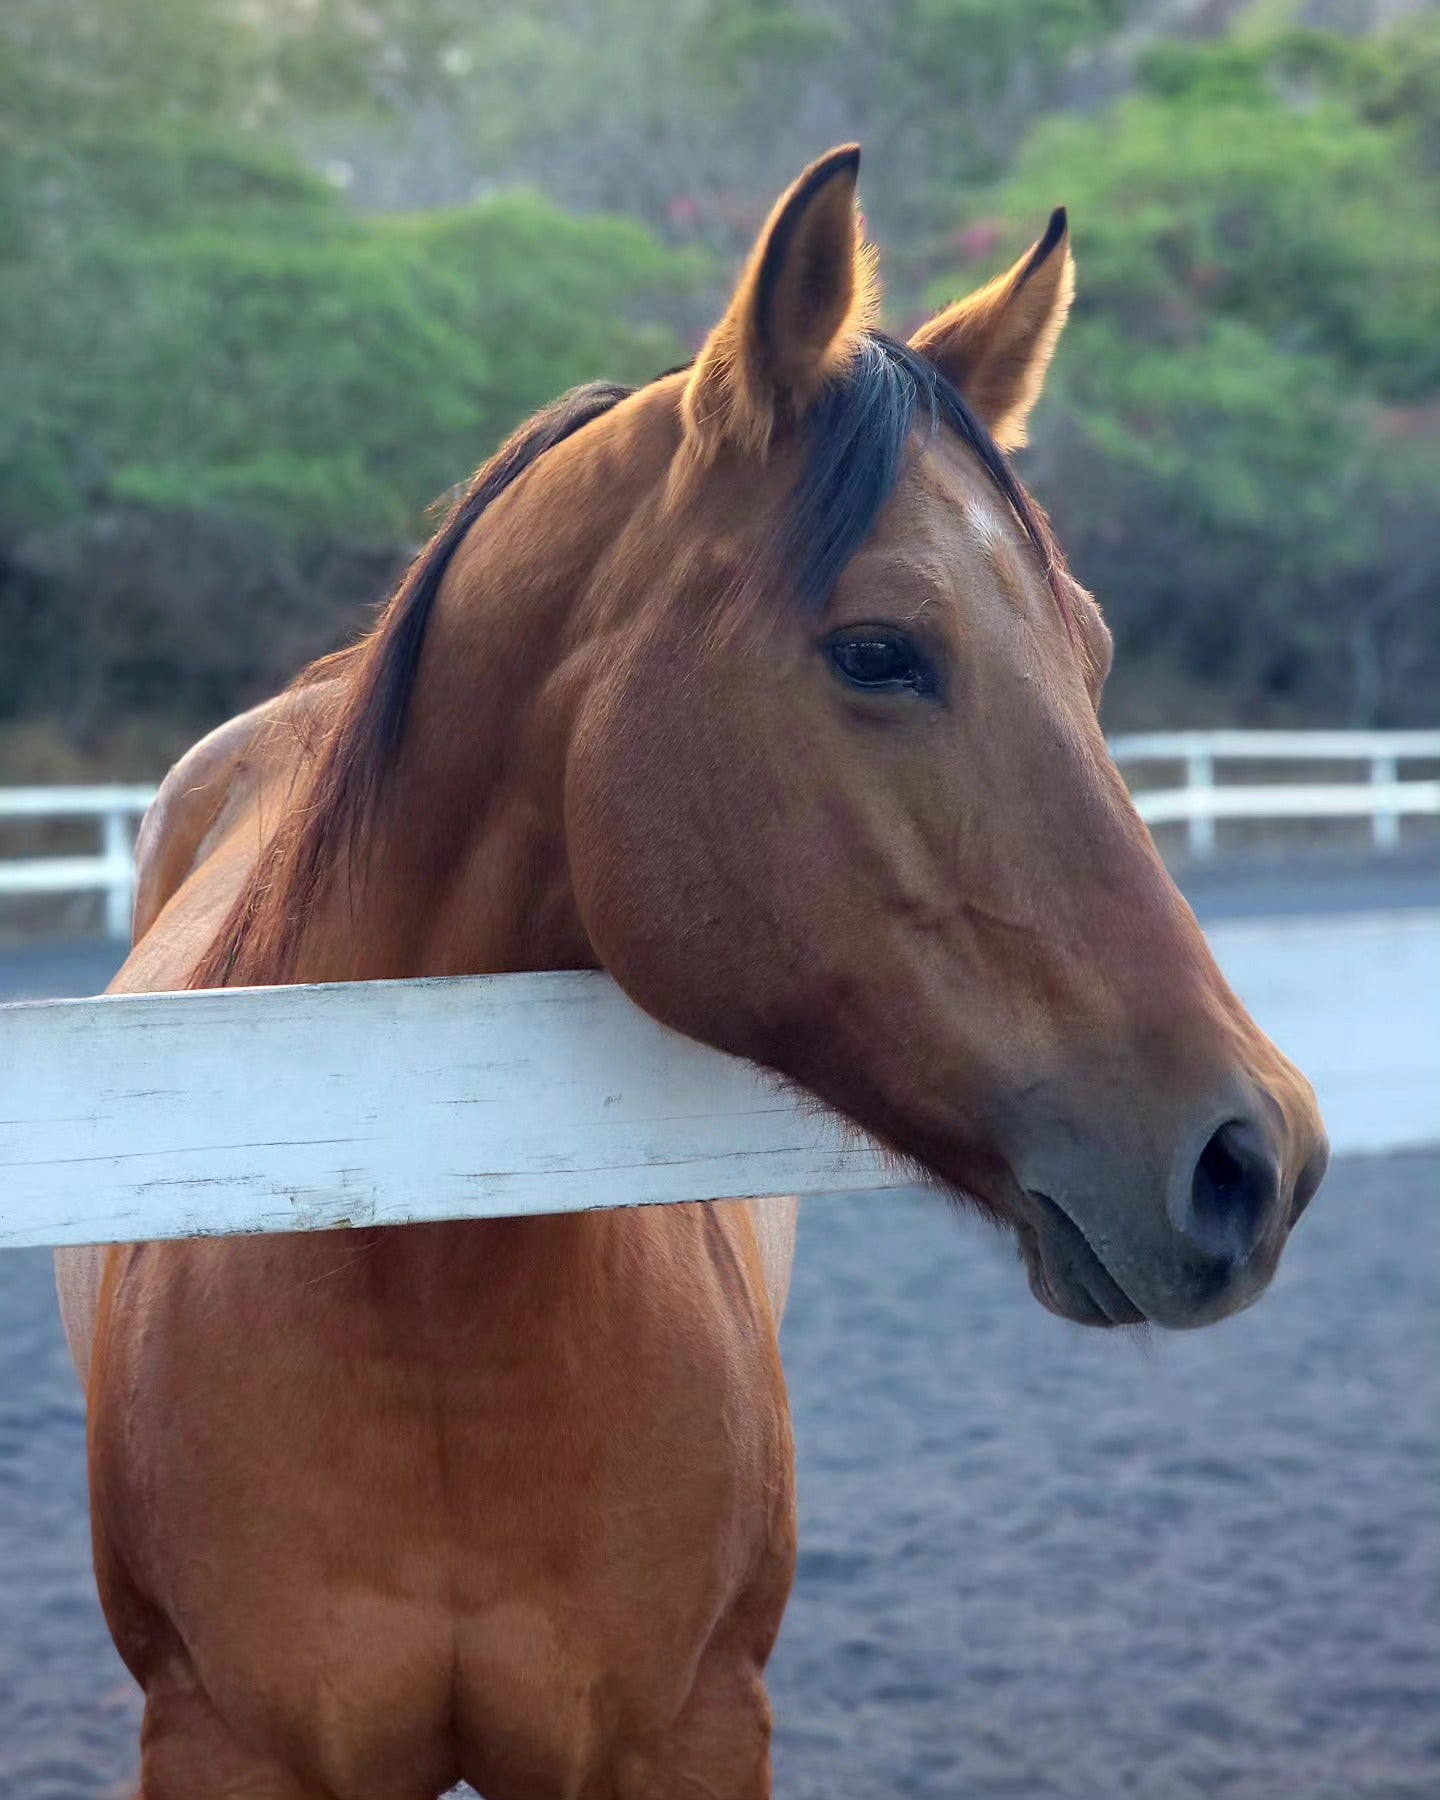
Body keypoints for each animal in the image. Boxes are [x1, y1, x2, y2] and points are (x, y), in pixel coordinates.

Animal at [56, 146, 1328, 1798]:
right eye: (877, 650)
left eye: (1094, 652)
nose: (1257, 1157)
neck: (420, 1274)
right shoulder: (227, 1741)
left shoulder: (689, 1728)